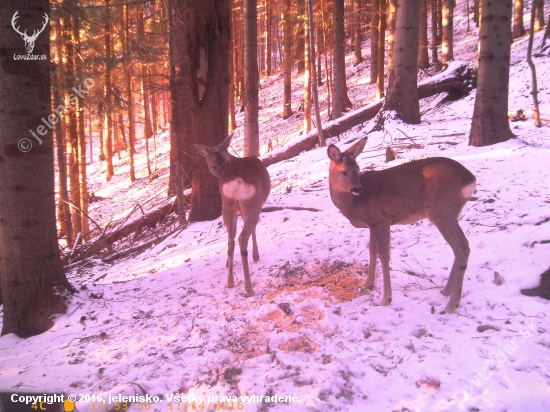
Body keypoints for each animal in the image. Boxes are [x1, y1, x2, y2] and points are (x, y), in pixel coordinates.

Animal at [194, 134, 272, 296]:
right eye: (213, 165)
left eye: (226, 161)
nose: (221, 172)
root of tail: (235, 181)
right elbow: (254, 229)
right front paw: (256, 255)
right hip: (251, 203)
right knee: (242, 238)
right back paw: (249, 287)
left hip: (227, 205)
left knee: (231, 240)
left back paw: (230, 281)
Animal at [328, 137, 478, 314]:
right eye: (345, 171)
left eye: (357, 169)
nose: (358, 188)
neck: (352, 203)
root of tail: (471, 179)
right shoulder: (372, 223)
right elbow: (372, 251)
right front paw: (367, 286)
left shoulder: (381, 220)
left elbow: (384, 256)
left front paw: (386, 299)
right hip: (450, 213)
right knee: (463, 244)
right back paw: (446, 291)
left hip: (440, 210)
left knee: (460, 246)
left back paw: (451, 304)